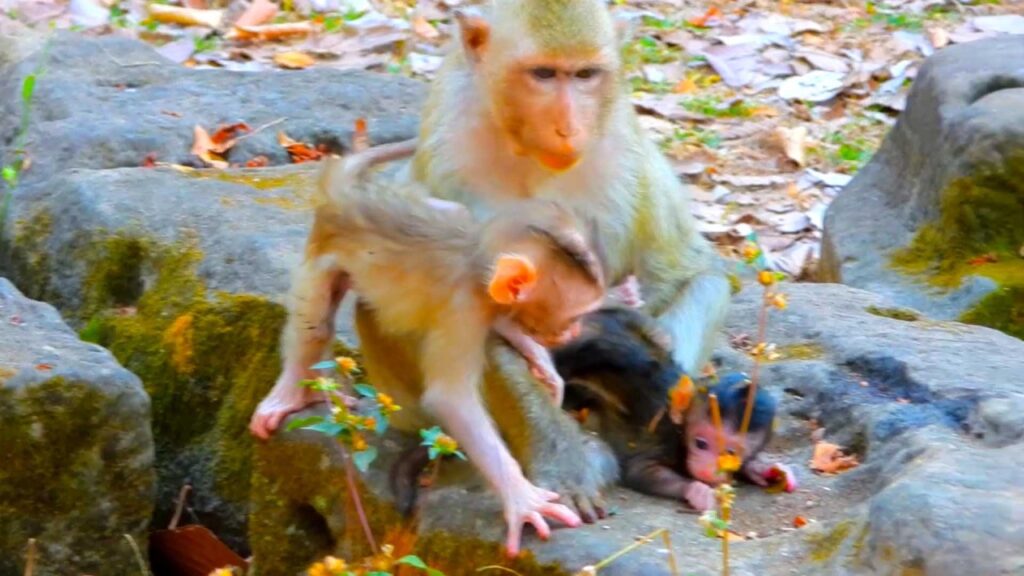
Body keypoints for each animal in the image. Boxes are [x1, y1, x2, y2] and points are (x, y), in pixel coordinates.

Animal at [251, 0, 731, 556]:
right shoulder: (453, 156)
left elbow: (693, 273)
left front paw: (654, 388)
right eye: (543, 75)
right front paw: (565, 464)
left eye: (584, 75)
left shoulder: (624, 147)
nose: (569, 127)